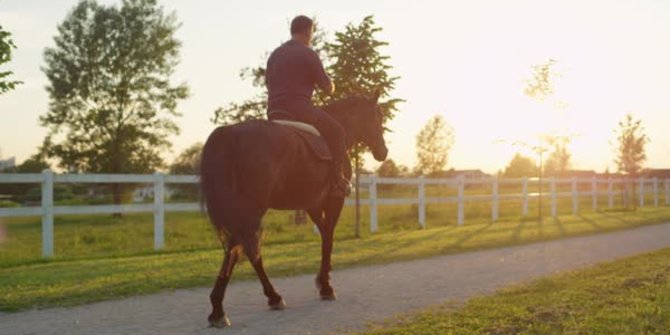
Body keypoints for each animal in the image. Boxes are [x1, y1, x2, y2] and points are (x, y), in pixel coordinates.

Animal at [200, 92, 388, 328]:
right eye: (378, 116)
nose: (383, 152)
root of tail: (228, 134)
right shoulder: (334, 200)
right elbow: (329, 238)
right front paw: (326, 286)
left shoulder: (312, 205)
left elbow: (324, 234)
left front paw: (323, 280)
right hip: (251, 210)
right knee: (246, 249)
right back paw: (262, 299)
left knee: (237, 249)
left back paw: (224, 307)